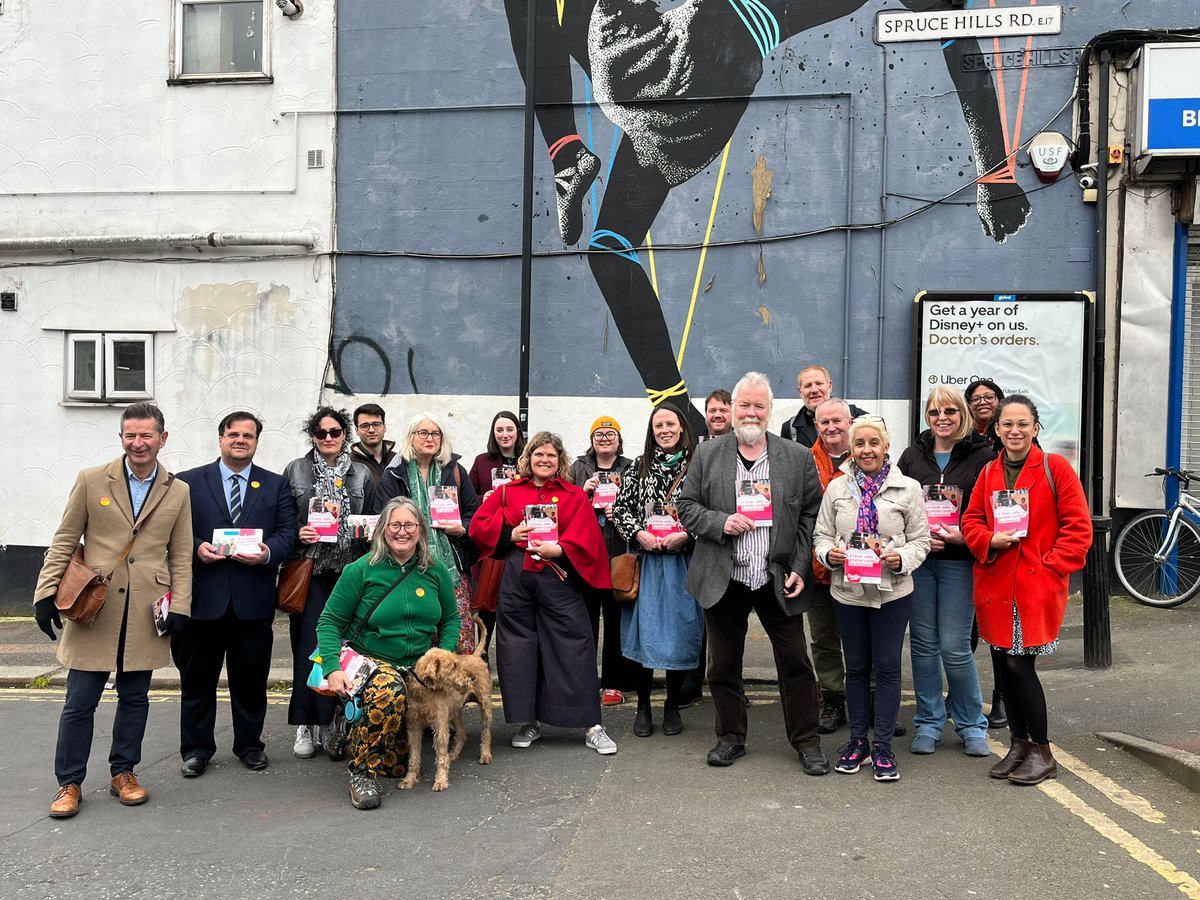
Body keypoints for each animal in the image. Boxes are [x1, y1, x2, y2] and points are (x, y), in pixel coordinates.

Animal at [398, 619, 492, 792]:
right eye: (453, 666)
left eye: (457, 663)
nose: (471, 677)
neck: (424, 692)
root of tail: (475, 656)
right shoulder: (413, 726)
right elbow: (413, 757)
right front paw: (409, 779)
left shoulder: (440, 725)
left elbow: (440, 755)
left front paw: (441, 780)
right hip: (454, 712)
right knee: (462, 733)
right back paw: (452, 755)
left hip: (485, 705)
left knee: (486, 731)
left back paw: (485, 755)